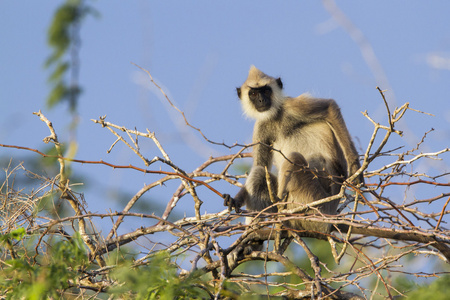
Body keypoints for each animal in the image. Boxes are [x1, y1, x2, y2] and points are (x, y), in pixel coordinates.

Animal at [223, 65, 364, 233]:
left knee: (294, 158)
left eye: (266, 90)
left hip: (313, 201)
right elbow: (259, 165)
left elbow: (330, 107)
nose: (261, 100)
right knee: (259, 173)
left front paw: (356, 169)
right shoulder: (261, 126)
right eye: (254, 93)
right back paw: (255, 232)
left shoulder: (292, 106)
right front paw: (235, 200)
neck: (275, 117)